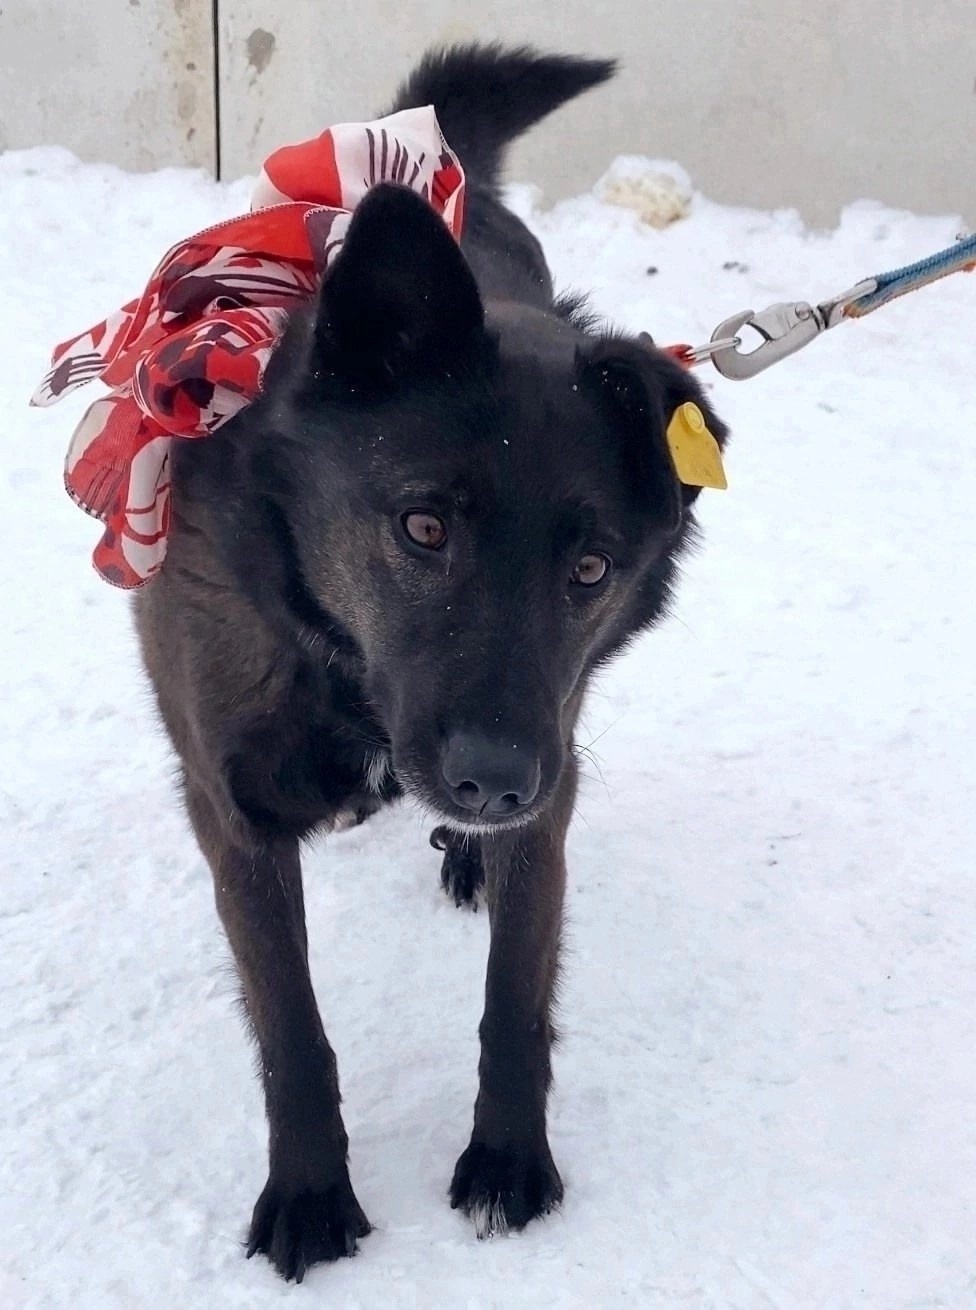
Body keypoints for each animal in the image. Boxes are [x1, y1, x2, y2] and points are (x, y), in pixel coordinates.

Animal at [134, 40, 723, 1278]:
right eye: (421, 526)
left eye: (589, 568)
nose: (491, 780)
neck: (345, 670)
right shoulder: (231, 809)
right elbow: (292, 1028)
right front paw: (311, 1191)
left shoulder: (555, 776)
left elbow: (516, 996)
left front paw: (509, 1160)